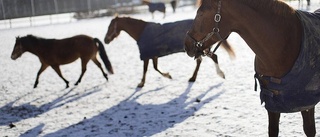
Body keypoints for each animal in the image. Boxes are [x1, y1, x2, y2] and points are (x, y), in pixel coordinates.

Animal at [105, 16, 235, 88]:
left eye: (110, 27)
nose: (105, 40)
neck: (141, 32)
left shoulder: (146, 55)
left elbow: (146, 69)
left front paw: (141, 84)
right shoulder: (154, 55)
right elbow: (155, 68)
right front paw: (168, 75)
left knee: (214, 57)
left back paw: (220, 74)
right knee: (200, 61)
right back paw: (192, 78)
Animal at [184, 0, 318, 136]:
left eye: (201, 14)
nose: (186, 45)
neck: (285, 44)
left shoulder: (306, 102)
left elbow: (309, 130)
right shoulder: (272, 101)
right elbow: (273, 130)